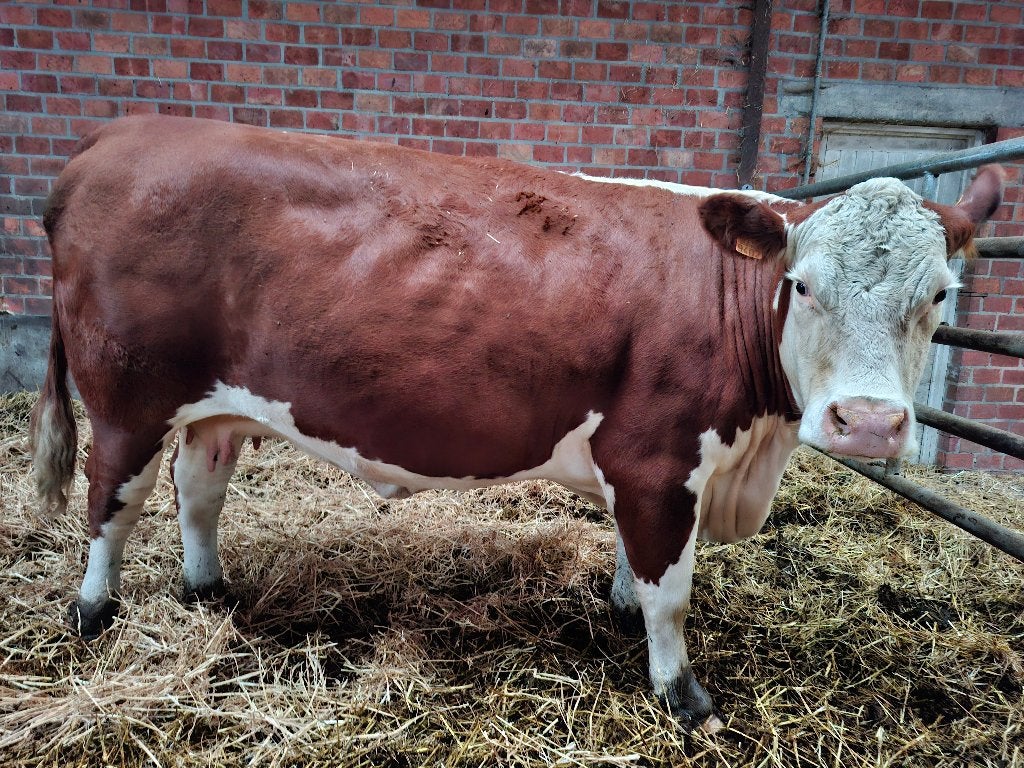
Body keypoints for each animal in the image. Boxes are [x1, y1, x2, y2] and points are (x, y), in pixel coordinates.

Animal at [30, 115, 1003, 732]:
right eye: (801, 285)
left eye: (940, 295)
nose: (868, 423)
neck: (750, 455)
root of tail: (114, 138)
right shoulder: (657, 460)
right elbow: (674, 588)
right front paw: (681, 693)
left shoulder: (667, 476)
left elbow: (641, 566)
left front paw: (622, 610)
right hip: (128, 396)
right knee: (112, 503)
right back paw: (93, 610)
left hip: (219, 404)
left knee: (199, 487)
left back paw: (210, 589)